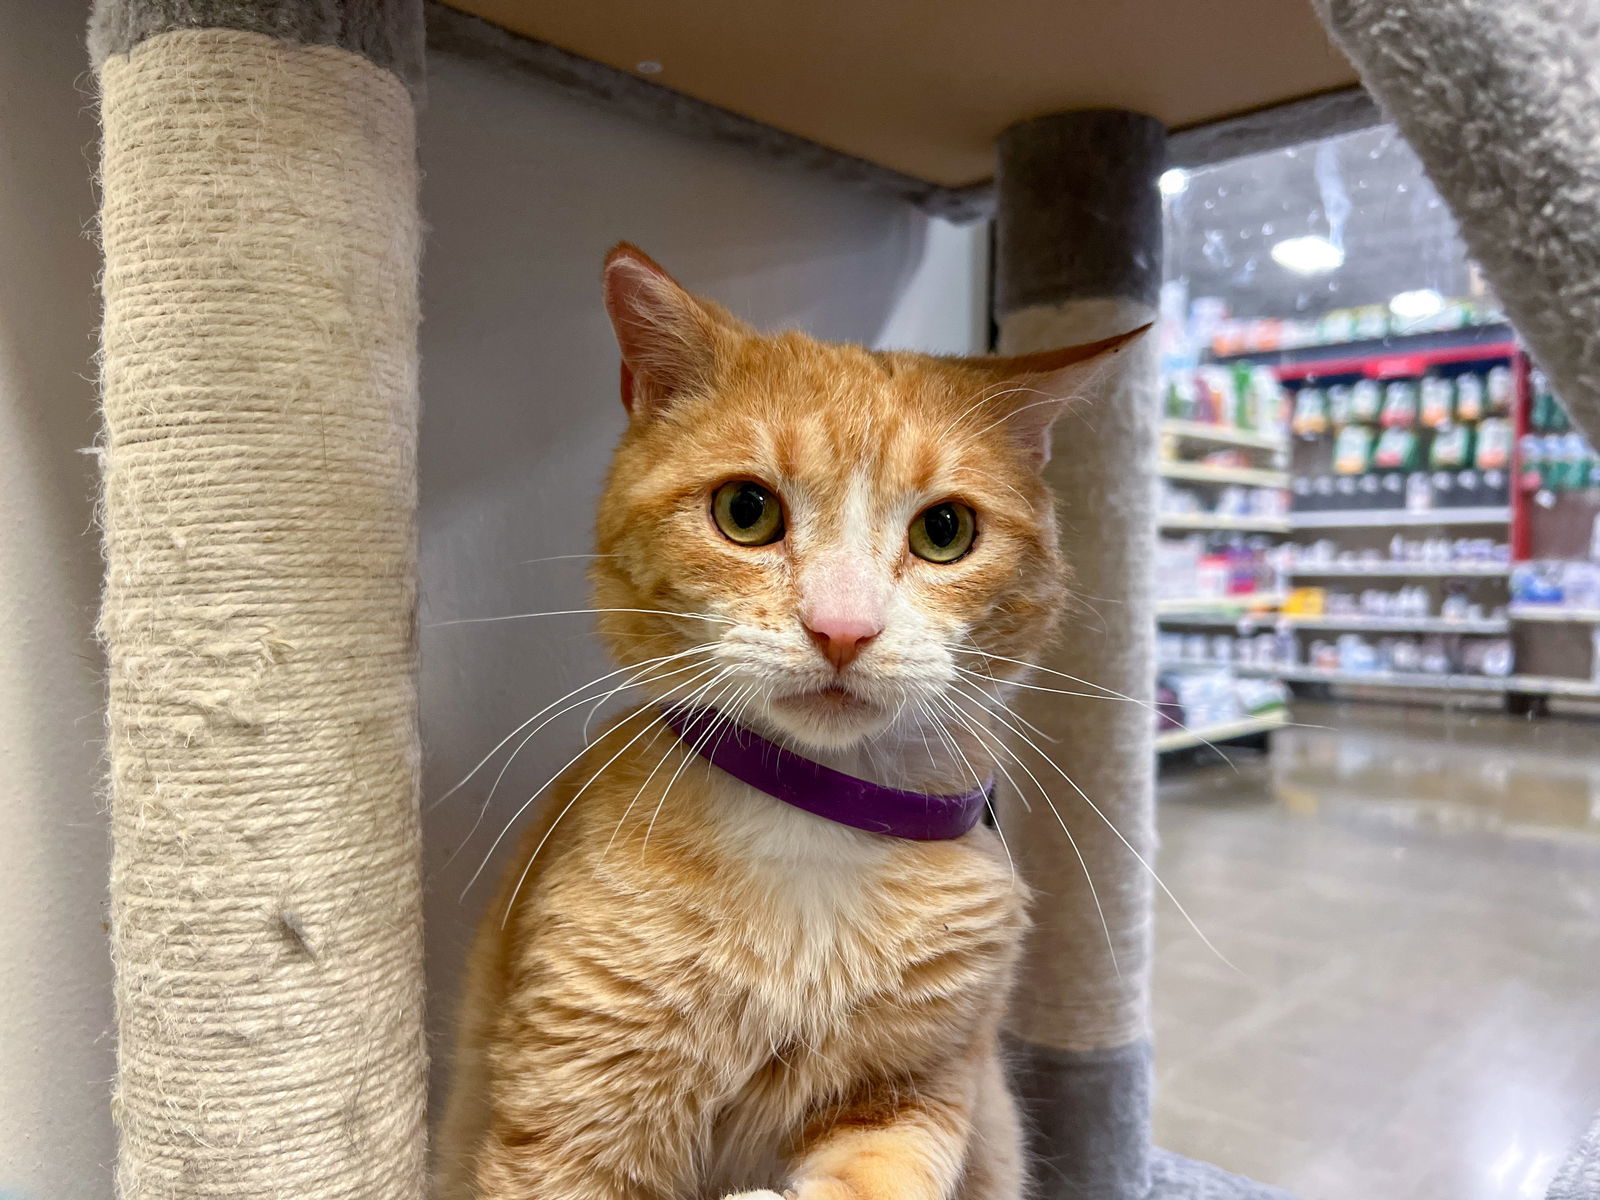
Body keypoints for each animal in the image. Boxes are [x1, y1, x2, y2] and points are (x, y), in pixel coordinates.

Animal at [435, 244, 1139, 1200]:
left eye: (945, 530)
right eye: (747, 511)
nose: (842, 628)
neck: (813, 828)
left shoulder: (915, 1097)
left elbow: (875, 1177)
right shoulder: (574, 1115)